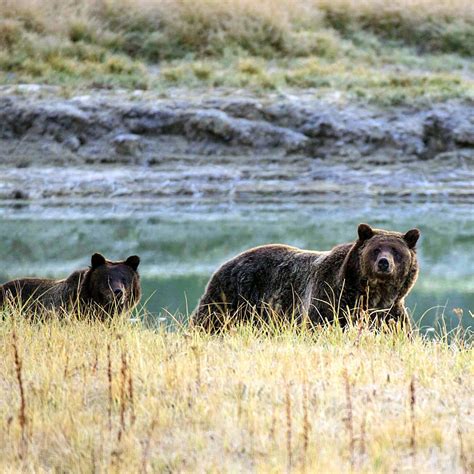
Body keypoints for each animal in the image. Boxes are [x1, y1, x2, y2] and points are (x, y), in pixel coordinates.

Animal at [193, 224, 422, 332]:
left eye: (396, 251)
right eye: (376, 249)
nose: (384, 263)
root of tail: (226, 262)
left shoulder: (390, 312)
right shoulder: (330, 299)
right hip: (232, 297)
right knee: (209, 321)